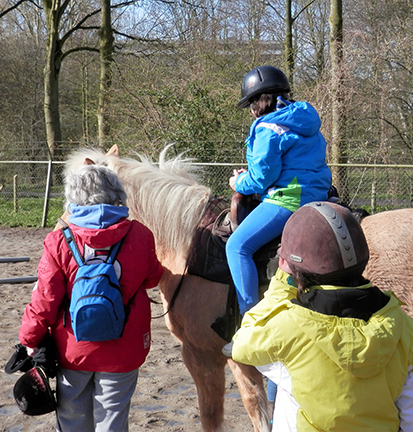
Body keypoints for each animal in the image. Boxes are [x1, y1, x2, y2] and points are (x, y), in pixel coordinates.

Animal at [60, 146, 412, 432]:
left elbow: (213, 416)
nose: (61, 229)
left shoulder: (202, 355)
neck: (189, 245)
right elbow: (258, 406)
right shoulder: (239, 356)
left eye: (72, 201)